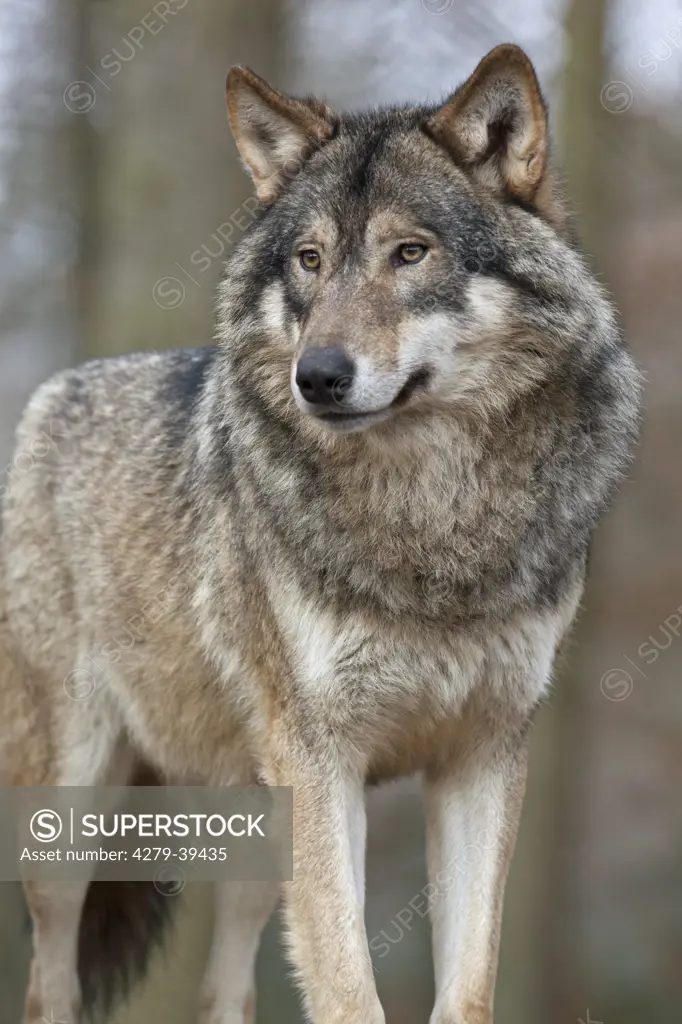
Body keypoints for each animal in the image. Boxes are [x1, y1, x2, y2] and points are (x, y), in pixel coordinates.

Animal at [0, 44, 638, 1019]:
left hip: (253, 831)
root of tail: (49, 394)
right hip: (76, 812)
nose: (319, 377)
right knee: (50, 984)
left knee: (222, 992)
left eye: (409, 253)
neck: (430, 517)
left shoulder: (483, 756)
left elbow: (466, 991)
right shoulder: (321, 758)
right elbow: (348, 987)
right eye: (309, 259)